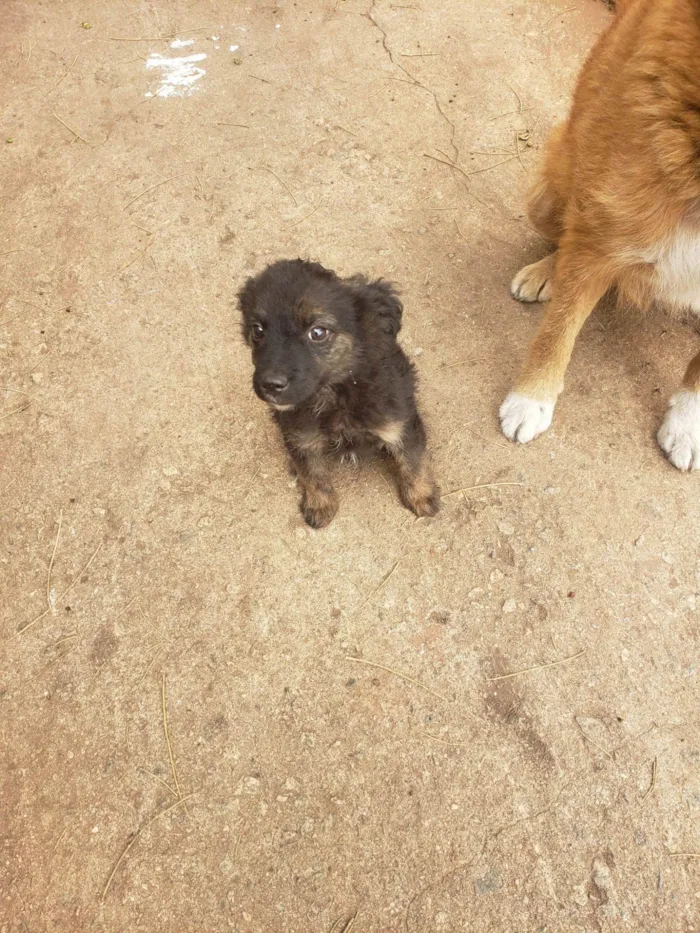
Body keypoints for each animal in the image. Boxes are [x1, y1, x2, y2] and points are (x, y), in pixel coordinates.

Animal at [239, 258, 438, 528]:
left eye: (318, 332)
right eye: (257, 330)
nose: (270, 384)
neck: (336, 394)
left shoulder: (399, 423)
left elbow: (413, 460)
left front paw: (422, 496)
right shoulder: (299, 434)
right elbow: (311, 471)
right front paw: (320, 504)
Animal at [500, 0, 700, 470]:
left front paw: (687, 425)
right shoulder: (602, 235)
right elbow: (557, 331)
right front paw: (531, 399)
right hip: (552, 194)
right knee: (566, 242)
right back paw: (544, 273)